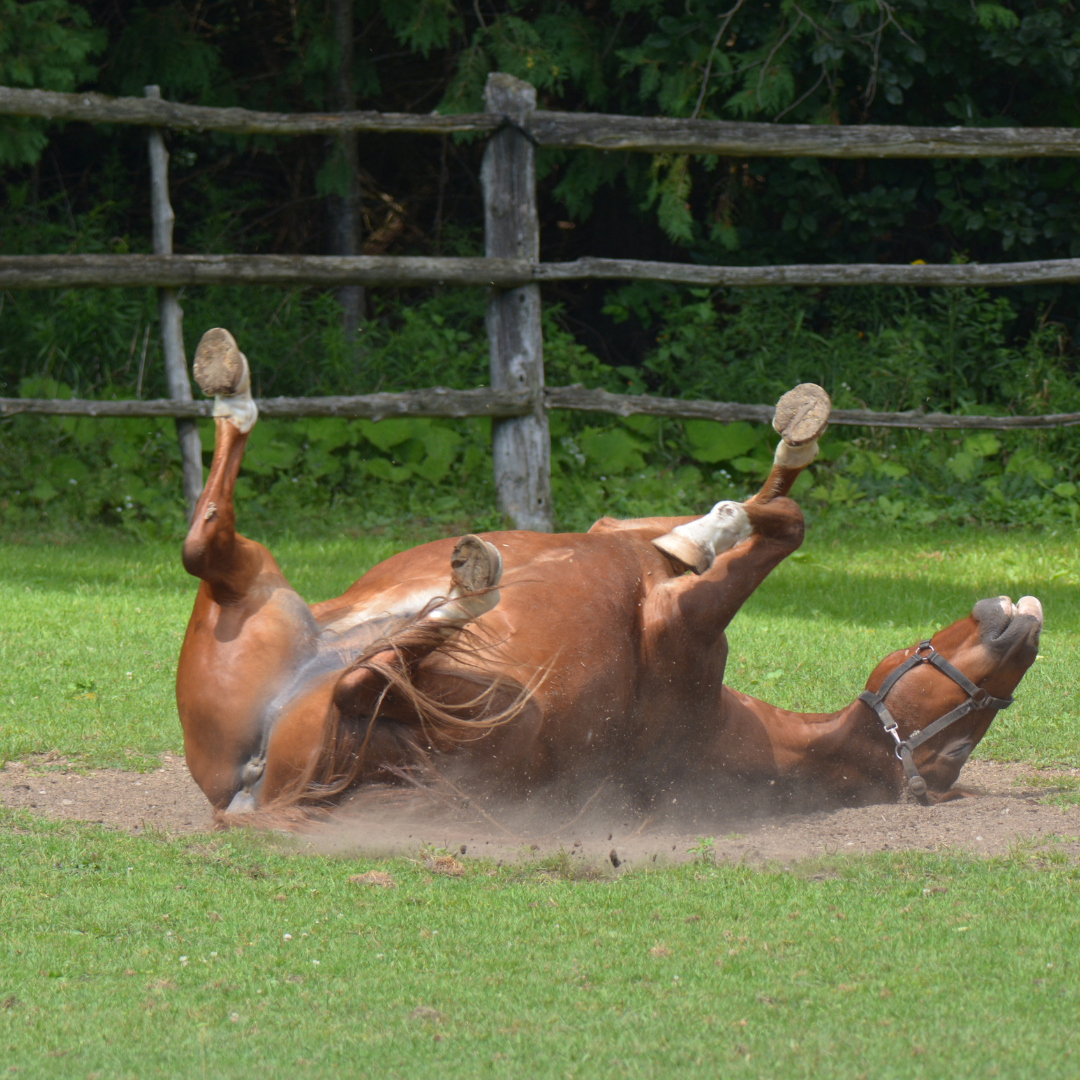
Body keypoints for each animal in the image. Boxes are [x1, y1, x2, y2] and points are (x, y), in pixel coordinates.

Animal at [176, 328, 1042, 821]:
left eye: (958, 749)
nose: (1025, 623)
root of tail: (247, 788)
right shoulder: (635, 561)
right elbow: (755, 515)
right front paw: (767, 467)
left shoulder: (681, 628)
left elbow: (775, 528)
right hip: (265, 596)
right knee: (208, 545)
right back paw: (230, 382)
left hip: (486, 708)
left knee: (357, 668)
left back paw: (469, 590)